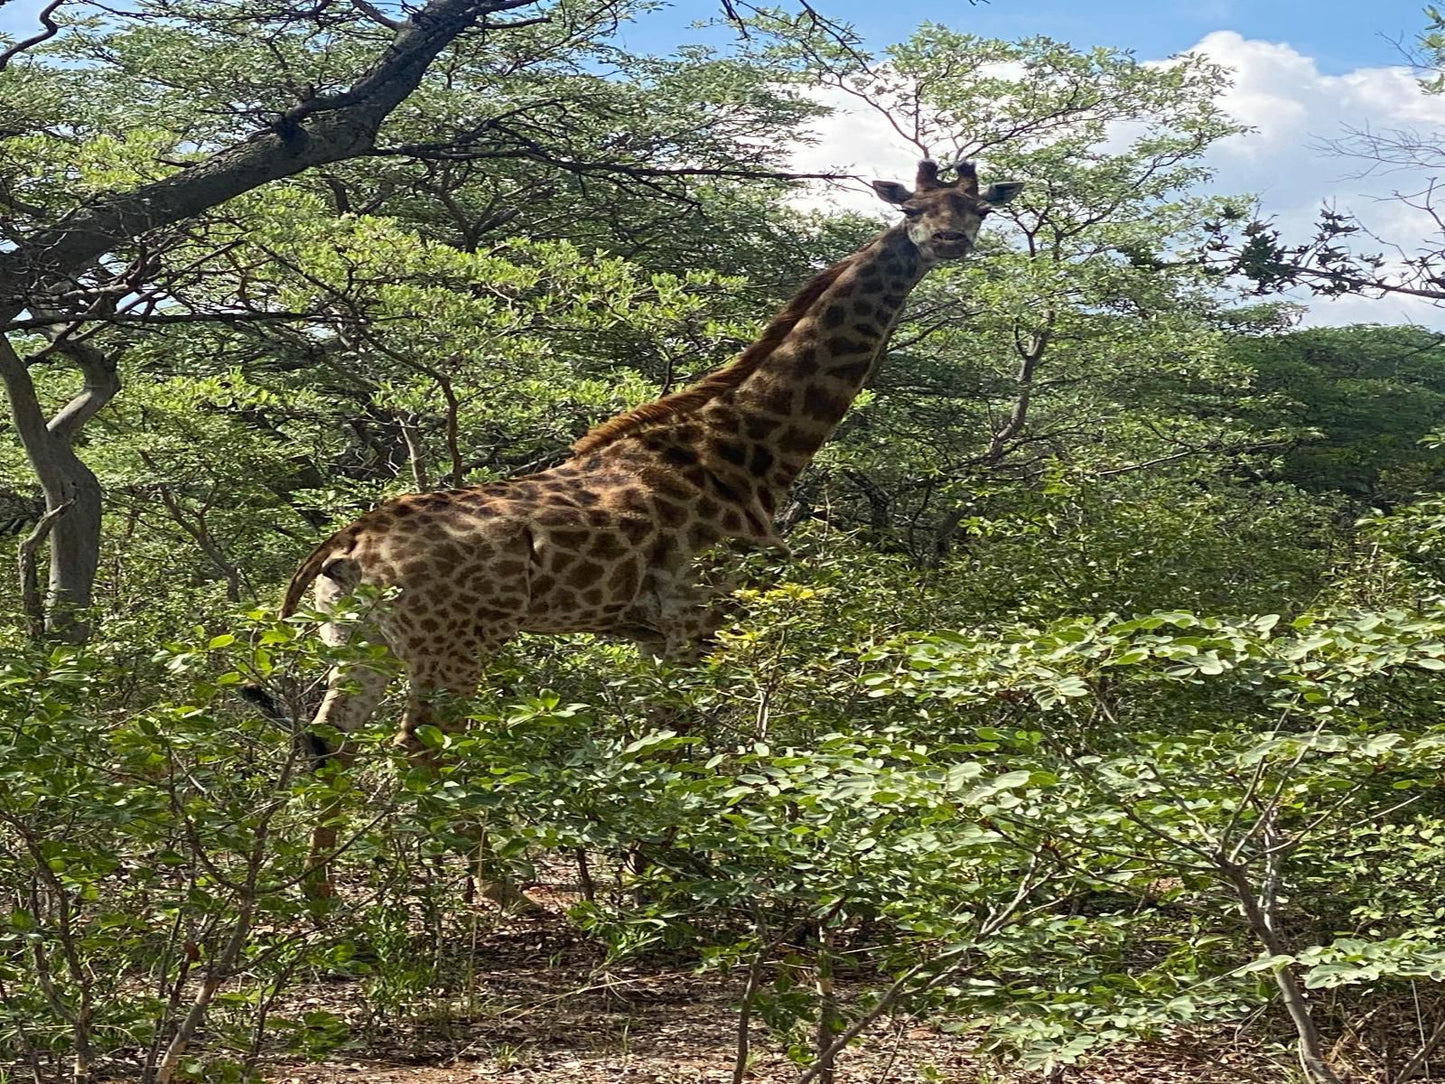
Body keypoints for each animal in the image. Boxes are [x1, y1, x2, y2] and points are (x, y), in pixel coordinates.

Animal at [254, 158, 1023, 890]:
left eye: (978, 209)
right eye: (913, 207)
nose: (949, 240)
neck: (748, 450)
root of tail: (349, 544)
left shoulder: (653, 634)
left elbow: (658, 747)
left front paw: (650, 869)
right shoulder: (698, 617)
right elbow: (687, 748)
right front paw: (673, 880)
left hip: (357, 641)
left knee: (328, 743)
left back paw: (318, 901)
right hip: (452, 645)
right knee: (419, 753)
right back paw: (495, 894)